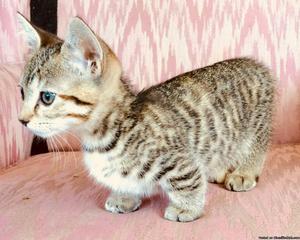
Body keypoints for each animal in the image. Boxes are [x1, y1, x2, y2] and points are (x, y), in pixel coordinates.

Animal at [17, 14, 274, 222]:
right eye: (21, 92)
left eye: (47, 97)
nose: (21, 120)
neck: (103, 137)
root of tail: (256, 64)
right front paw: (125, 196)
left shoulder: (178, 158)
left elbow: (187, 180)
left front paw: (187, 208)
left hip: (257, 127)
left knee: (255, 149)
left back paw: (243, 172)